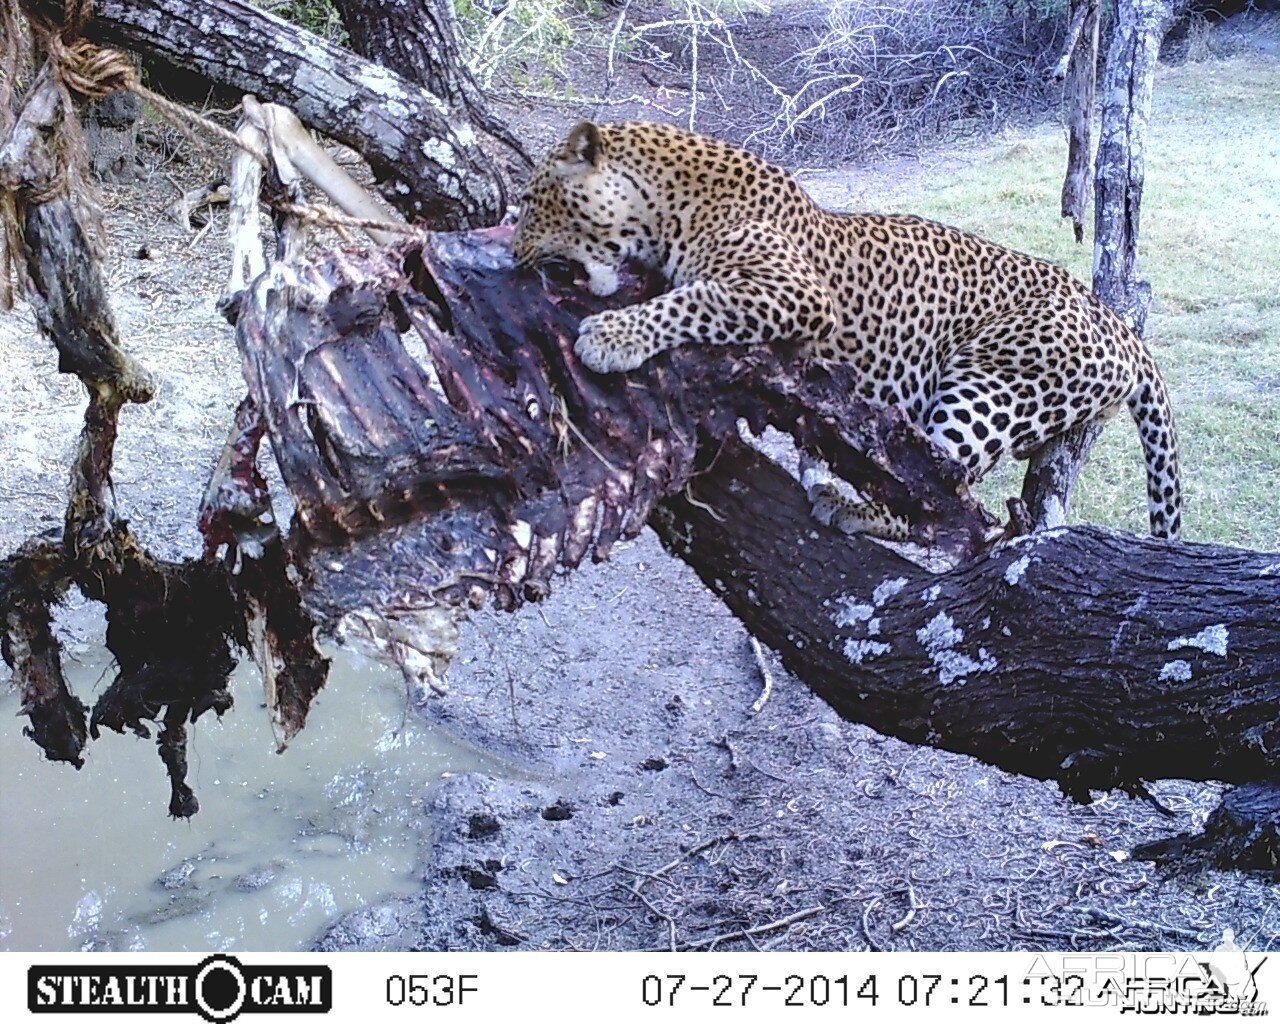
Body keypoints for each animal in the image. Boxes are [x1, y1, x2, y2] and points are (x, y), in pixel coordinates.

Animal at [506, 120, 1177, 540]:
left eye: (534, 200)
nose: (513, 255)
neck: (670, 205)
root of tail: (1119, 323)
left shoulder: (795, 293)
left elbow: (695, 299)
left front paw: (611, 336)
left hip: (992, 382)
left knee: (944, 494)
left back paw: (848, 502)